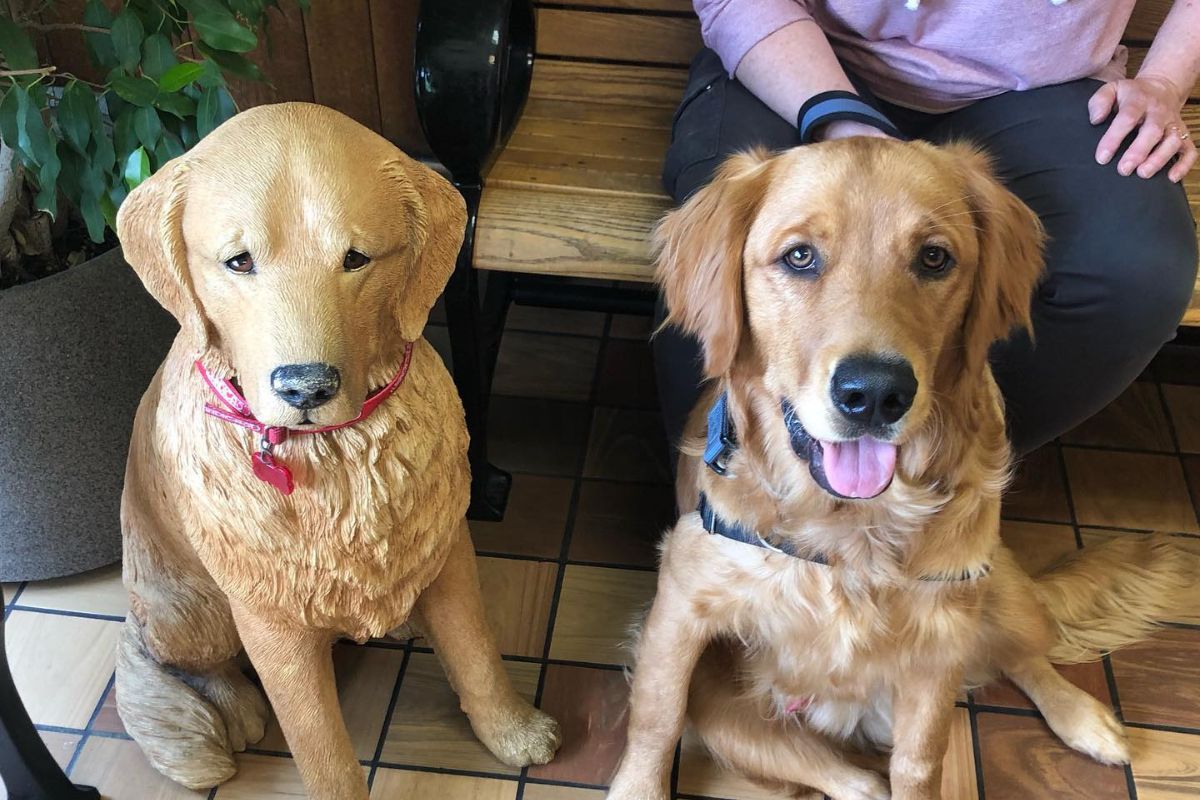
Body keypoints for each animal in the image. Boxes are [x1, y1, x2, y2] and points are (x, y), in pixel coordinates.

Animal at [113, 101, 561, 800]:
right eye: (238, 262)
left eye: (356, 258)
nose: (306, 386)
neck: (337, 455)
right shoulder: (272, 625)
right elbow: (321, 749)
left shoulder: (448, 549)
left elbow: (477, 654)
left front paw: (513, 731)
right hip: (187, 606)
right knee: (188, 661)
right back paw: (236, 708)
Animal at [614, 139, 1195, 800]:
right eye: (799, 256)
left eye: (934, 258)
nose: (873, 394)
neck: (850, 532)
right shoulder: (681, 603)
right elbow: (657, 719)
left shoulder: (938, 643)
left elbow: (920, 762)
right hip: (724, 711)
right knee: (850, 777)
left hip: (1001, 594)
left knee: (1022, 654)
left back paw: (1085, 719)